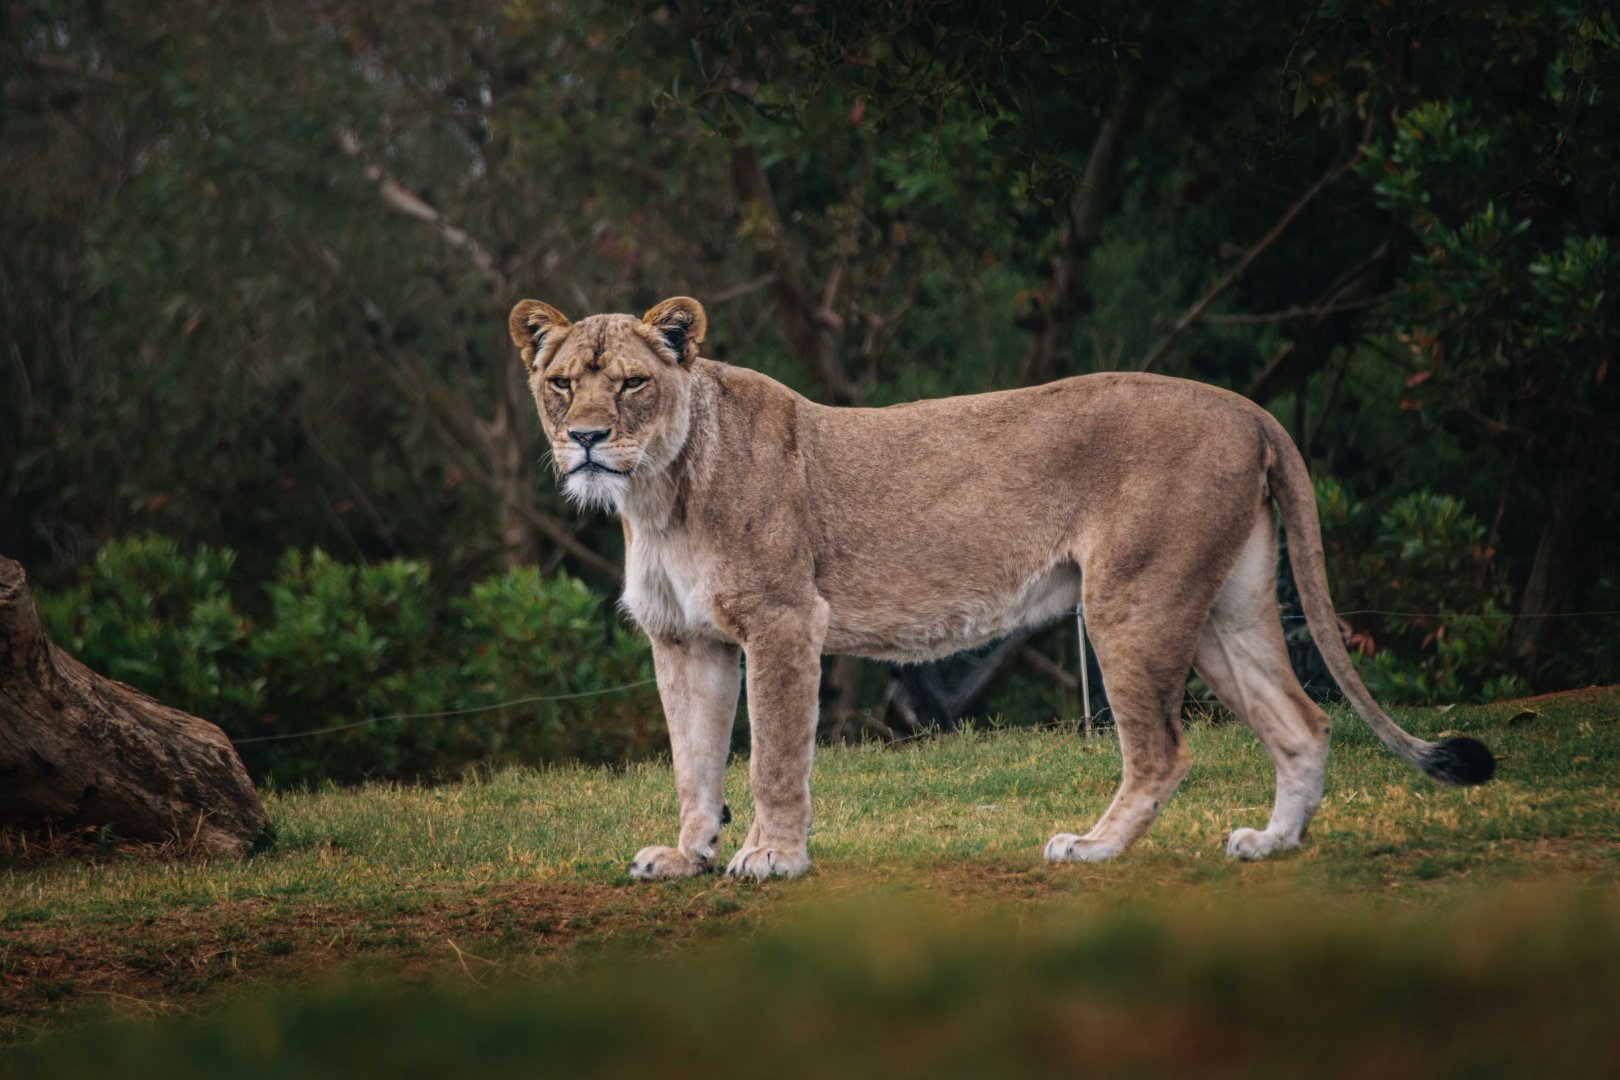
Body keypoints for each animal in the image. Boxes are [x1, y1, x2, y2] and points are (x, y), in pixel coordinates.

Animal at [508, 295, 1495, 881]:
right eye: (559, 385)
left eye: (632, 384)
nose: (586, 439)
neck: (659, 493)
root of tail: (1249, 406)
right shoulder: (687, 641)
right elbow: (693, 761)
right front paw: (685, 856)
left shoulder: (784, 620)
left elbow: (774, 757)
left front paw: (772, 857)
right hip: (1226, 605)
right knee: (1302, 721)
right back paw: (1271, 843)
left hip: (1131, 599)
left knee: (1164, 749)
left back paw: (1092, 847)